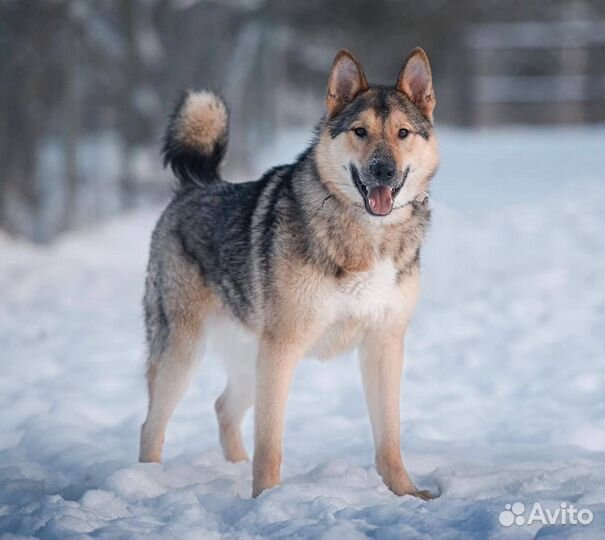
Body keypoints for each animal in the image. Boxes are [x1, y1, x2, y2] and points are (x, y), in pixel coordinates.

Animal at [137, 46, 438, 498]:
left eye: (403, 133)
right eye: (360, 132)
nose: (382, 170)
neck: (367, 236)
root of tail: (196, 184)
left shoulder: (384, 344)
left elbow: (389, 439)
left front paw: (407, 495)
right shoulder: (282, 350)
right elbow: (270, 444)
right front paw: (266, 499)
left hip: (248, 359)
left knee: (223, 408)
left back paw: (233, 468)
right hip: (185, 353)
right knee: (150, 426)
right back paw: (145, 483)